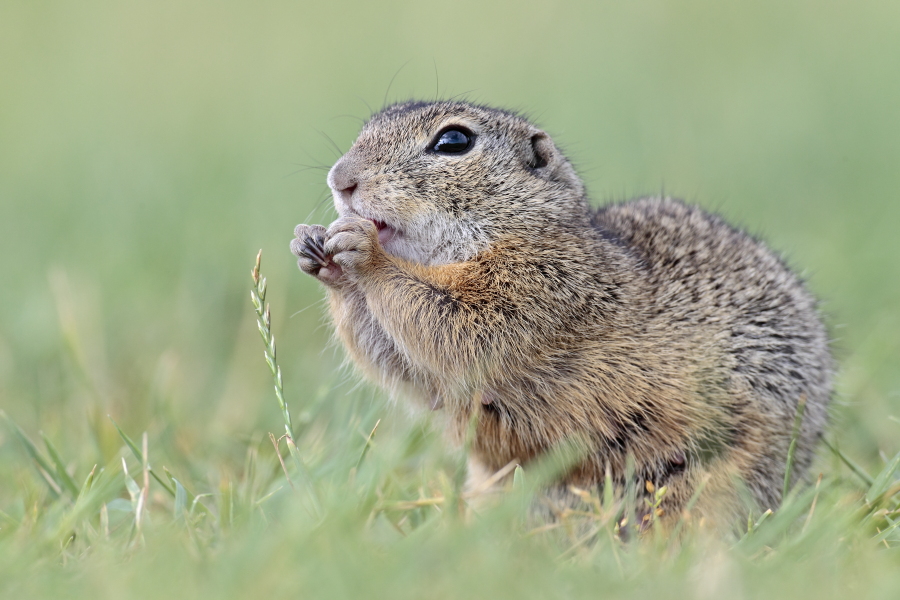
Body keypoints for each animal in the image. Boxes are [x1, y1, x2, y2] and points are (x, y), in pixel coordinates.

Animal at [290, 100, 833, 529]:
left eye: (454, 141)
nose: (340, 180)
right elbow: (404, 366)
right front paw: (314, 249)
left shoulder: (543, 289)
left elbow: (456, 326)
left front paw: (364, 254)